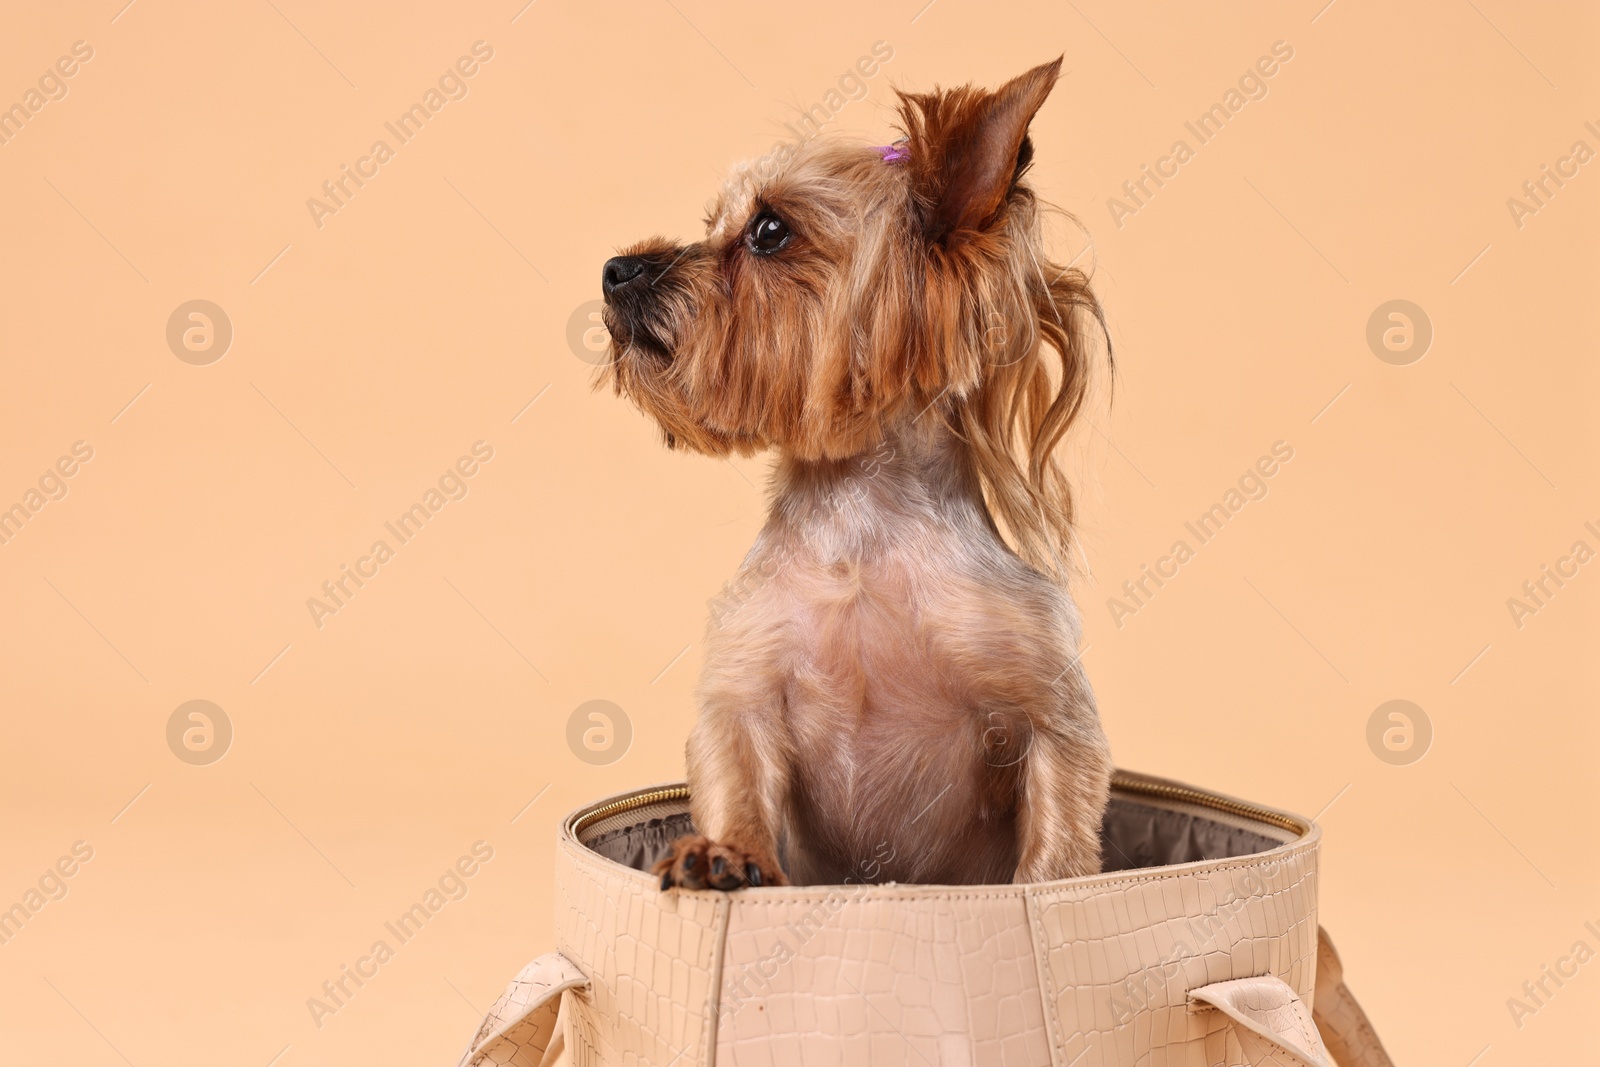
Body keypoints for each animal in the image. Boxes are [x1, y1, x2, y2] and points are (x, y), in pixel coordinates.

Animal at [601, 60, 1113, 895]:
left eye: (769, 230)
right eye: (714, 220)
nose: (615, 270)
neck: (860, 520)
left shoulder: (1050, 712)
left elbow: (1060, 834)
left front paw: (1053, 888)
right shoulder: (743, 692)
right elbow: (736, 776)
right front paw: (725, 851)